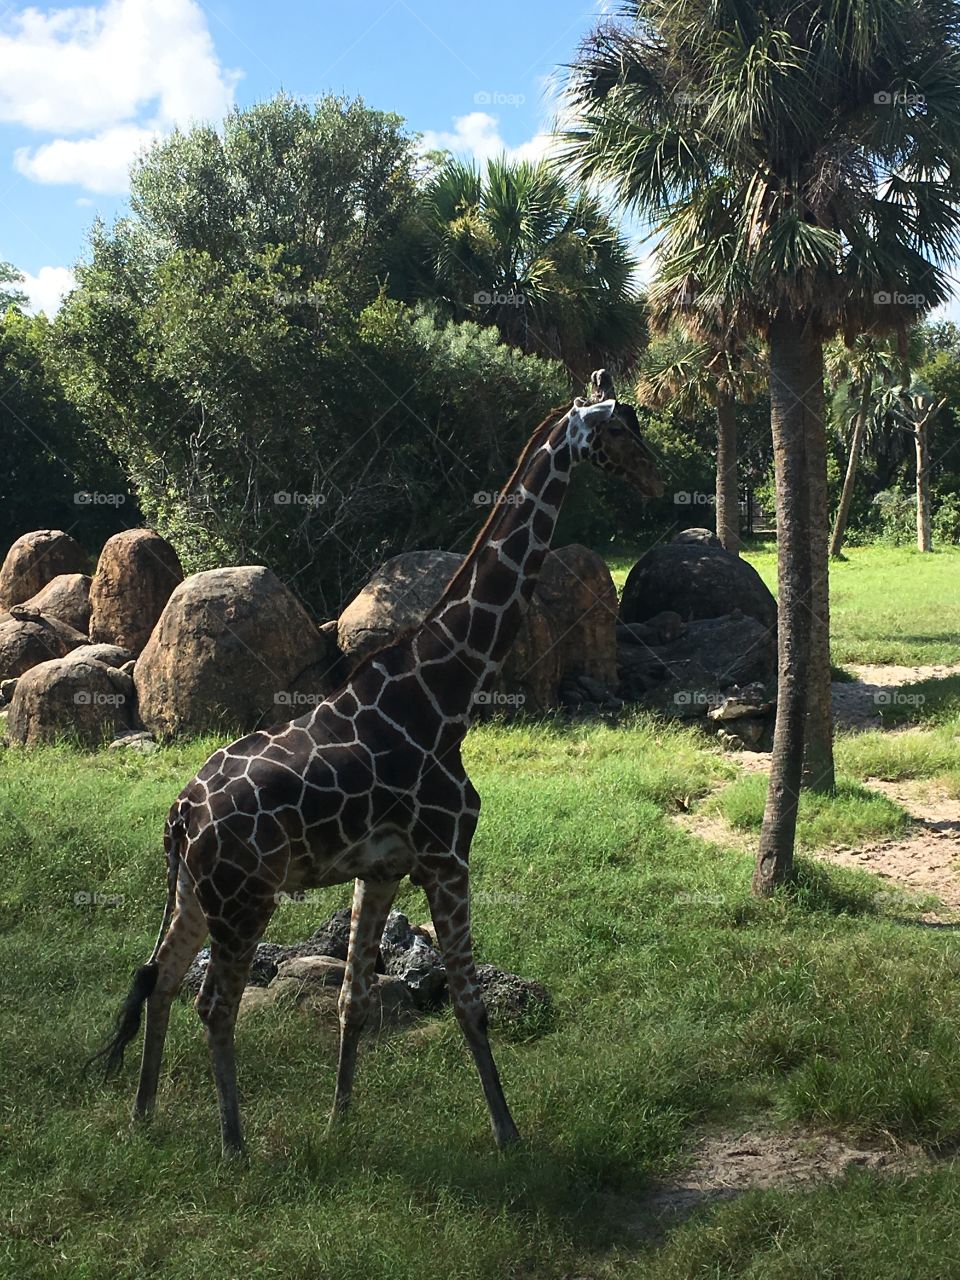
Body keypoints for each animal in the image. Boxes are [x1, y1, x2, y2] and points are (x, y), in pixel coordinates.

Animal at [89, 390, 664, 1157]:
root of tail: (182, 813)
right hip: (244, 898)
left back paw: (144, 1114)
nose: (657, 479)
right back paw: (234, 1146)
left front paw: (340, 1119)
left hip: (192, 891)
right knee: (213, 1002)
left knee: (162, 979)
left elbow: (353, 999)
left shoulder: (383, 868)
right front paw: (507, 1134)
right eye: (619, 430)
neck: (447, 692)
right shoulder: (448, 856)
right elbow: (470, 1003)